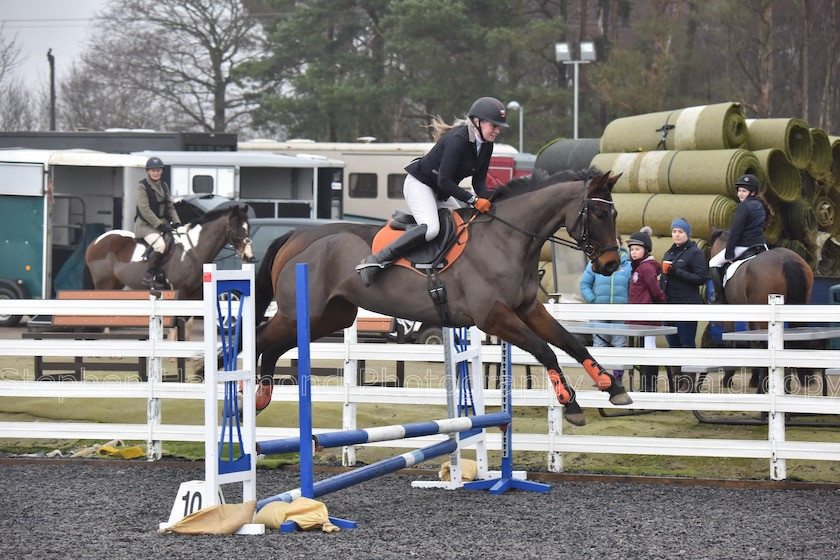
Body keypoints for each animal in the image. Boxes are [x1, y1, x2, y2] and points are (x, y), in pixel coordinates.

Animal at [87, 205, 256, 300]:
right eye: (235, 227)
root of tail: (95, 242)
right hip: (104, 285)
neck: (194, 250)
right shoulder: (179, 289)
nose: (249, 256)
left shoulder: (195, 293)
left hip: (117, 284)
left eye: (248, 227)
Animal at [254, 168, 632, 426]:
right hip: (298, 313)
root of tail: (294, 235)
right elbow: (545, 350)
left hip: (328, 316)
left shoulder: (527, 308)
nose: (611, 264)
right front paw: (572, 405)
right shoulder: (494, 317)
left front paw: (611, 386)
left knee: (270, 346)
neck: (508, 239)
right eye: (600, 214)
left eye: (615, 214)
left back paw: (260, 397)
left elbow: (571, 342)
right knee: (257, 340)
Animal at [704, 230, 816, 392]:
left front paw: (727, 379)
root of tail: (786, 260)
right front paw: (754, 379)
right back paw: (785, 386)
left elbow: (732, 341)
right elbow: (754, 342)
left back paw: (763, 389)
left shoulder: (729, 312)